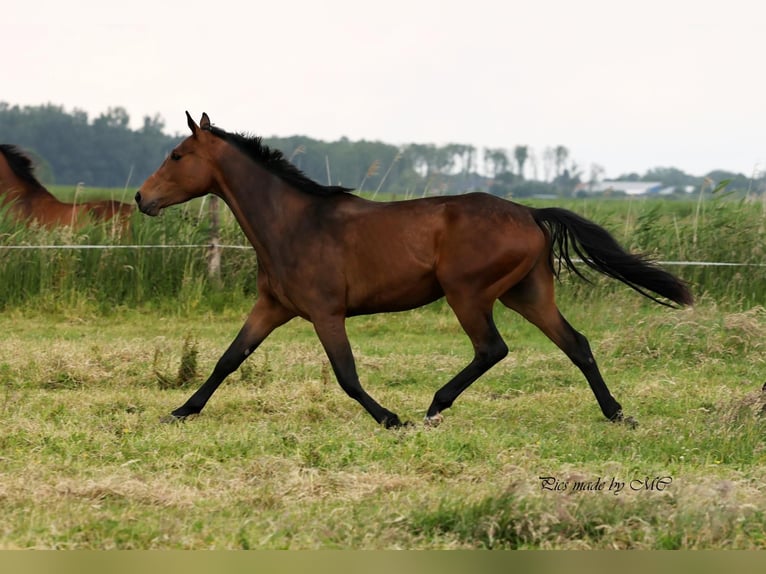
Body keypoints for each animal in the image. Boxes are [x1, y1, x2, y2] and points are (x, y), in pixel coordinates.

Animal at [135, 112, 692, 430]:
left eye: (177, 155)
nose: (142, 198)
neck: (292, 223)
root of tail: (530, 212)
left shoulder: (325, 312)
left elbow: (346, 374)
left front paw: (390, 419)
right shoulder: (272, 307)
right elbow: (228, 359)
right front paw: (181, 412)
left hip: (467, 293)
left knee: (492, 348)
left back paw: (434, 407)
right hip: (527, 294)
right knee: (576, 344)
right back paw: (617, 415)